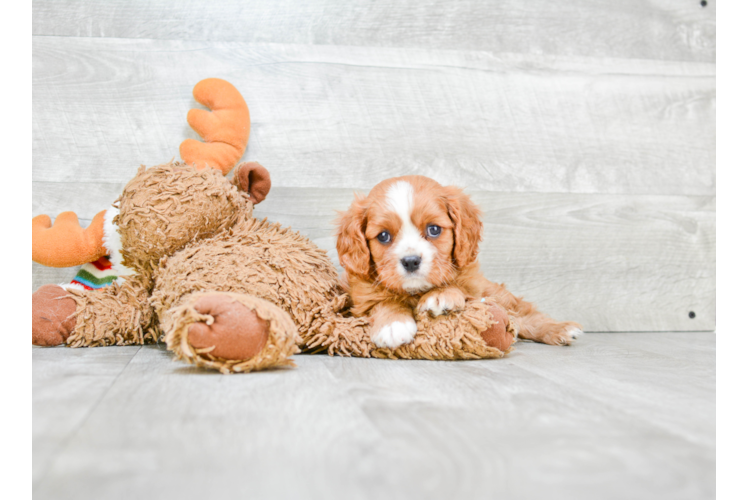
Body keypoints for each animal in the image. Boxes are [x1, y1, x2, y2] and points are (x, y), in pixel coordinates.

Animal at [334, 175, 584, 348]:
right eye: (383, 236)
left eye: (434, 229)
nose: (411, 261)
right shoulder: (362, 297)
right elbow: (382, 302)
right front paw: (393, 325)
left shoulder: (473, 283)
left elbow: (459, 288)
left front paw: (441, 295)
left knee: (523, 314)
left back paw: (560, 329)